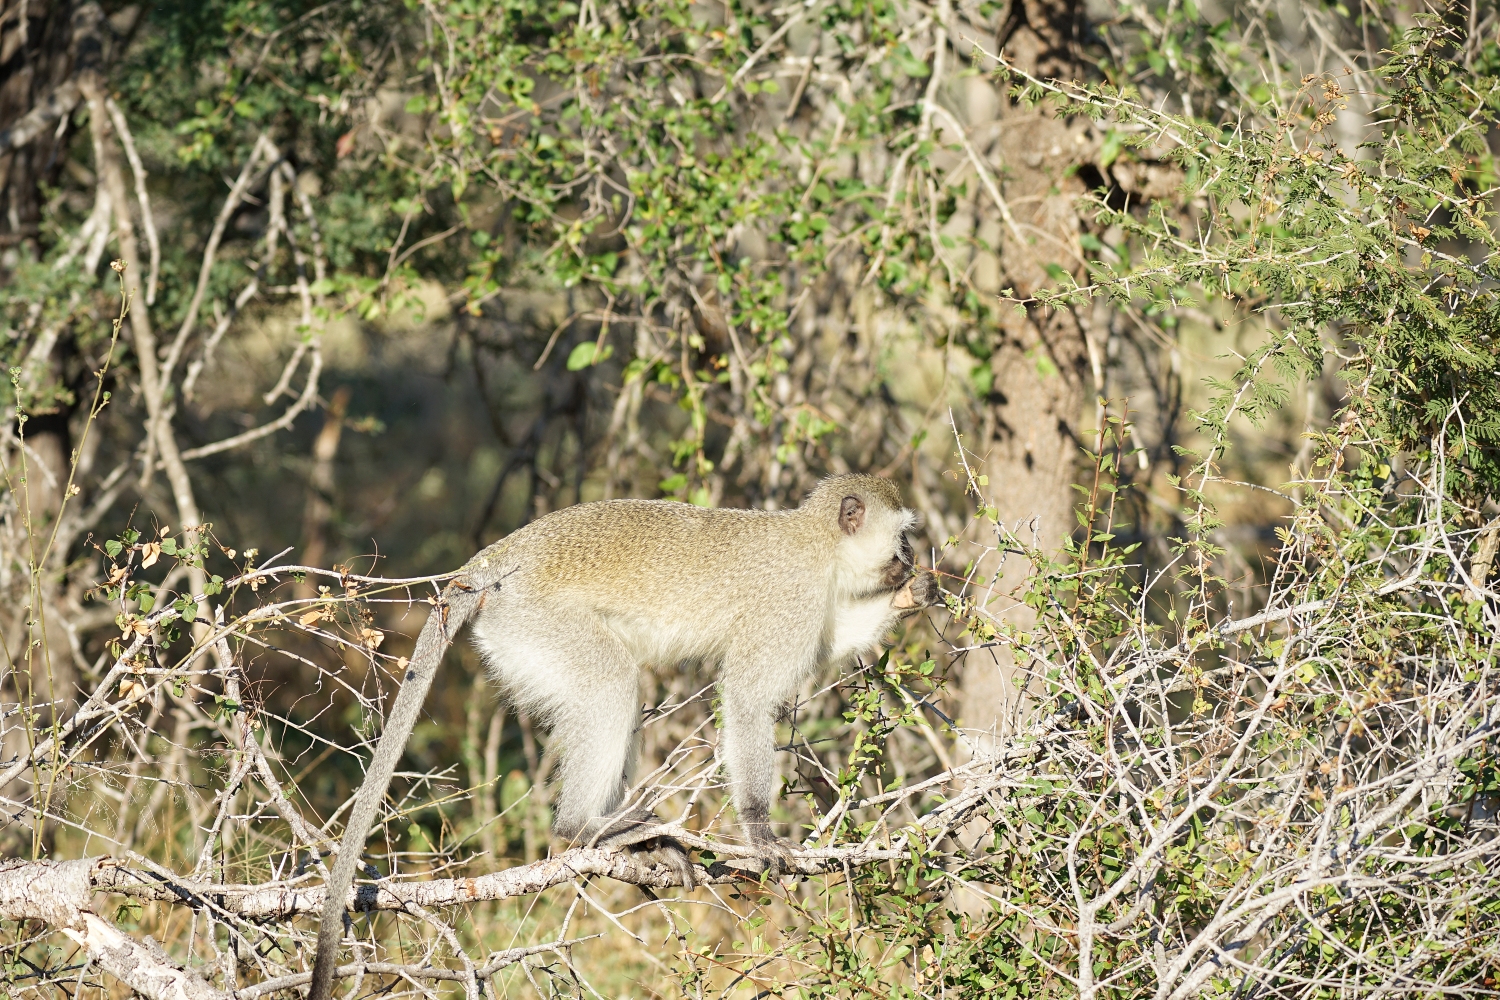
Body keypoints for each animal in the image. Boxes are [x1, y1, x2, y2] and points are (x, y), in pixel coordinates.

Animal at [306, 476, 936, 1000]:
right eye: (901, 537)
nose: (909, 561)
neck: (816, 544)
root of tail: (495, 559)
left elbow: (834, 640)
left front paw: (912, 596)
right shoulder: (791, 603)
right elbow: (750, 695)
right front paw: (759, 830)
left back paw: (633, 842)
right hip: (535, 623)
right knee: (612, 681)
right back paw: (585, 826)